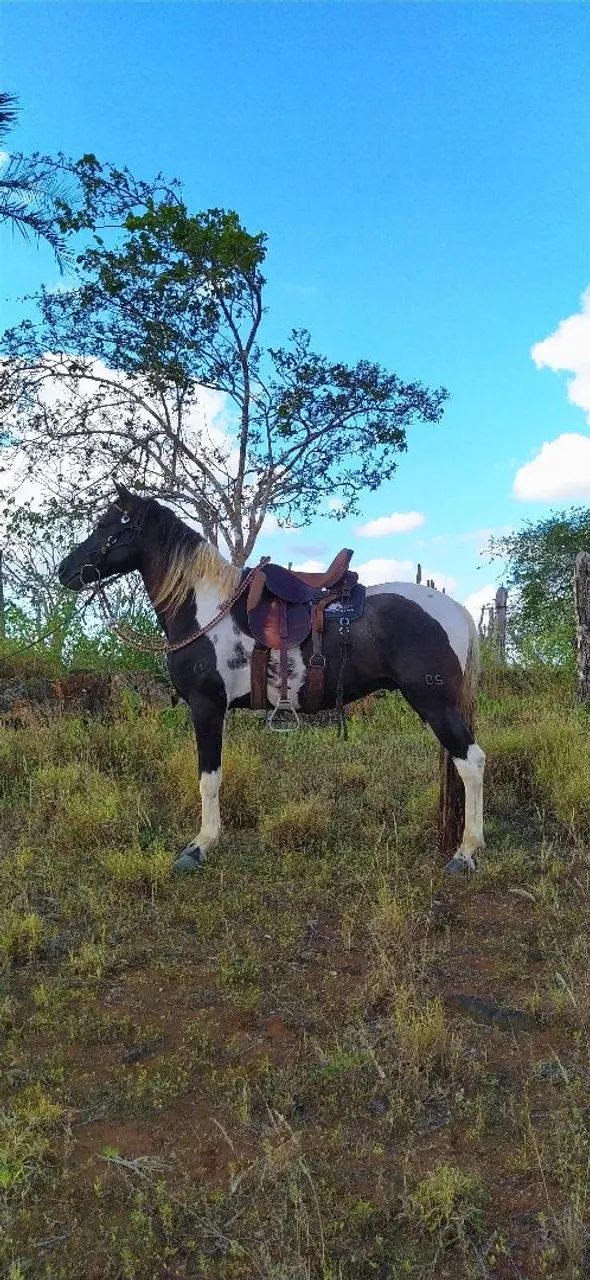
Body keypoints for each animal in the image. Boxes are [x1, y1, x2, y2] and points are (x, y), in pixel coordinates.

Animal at [58, 483, 485, 875]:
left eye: (104, 525)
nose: (64, 572)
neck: (204, 609)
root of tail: (454, 608)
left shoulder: (206, 706)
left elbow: (208, 779)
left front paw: (200, 845)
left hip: (435, 703)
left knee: (471, 762)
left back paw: (466, 853)